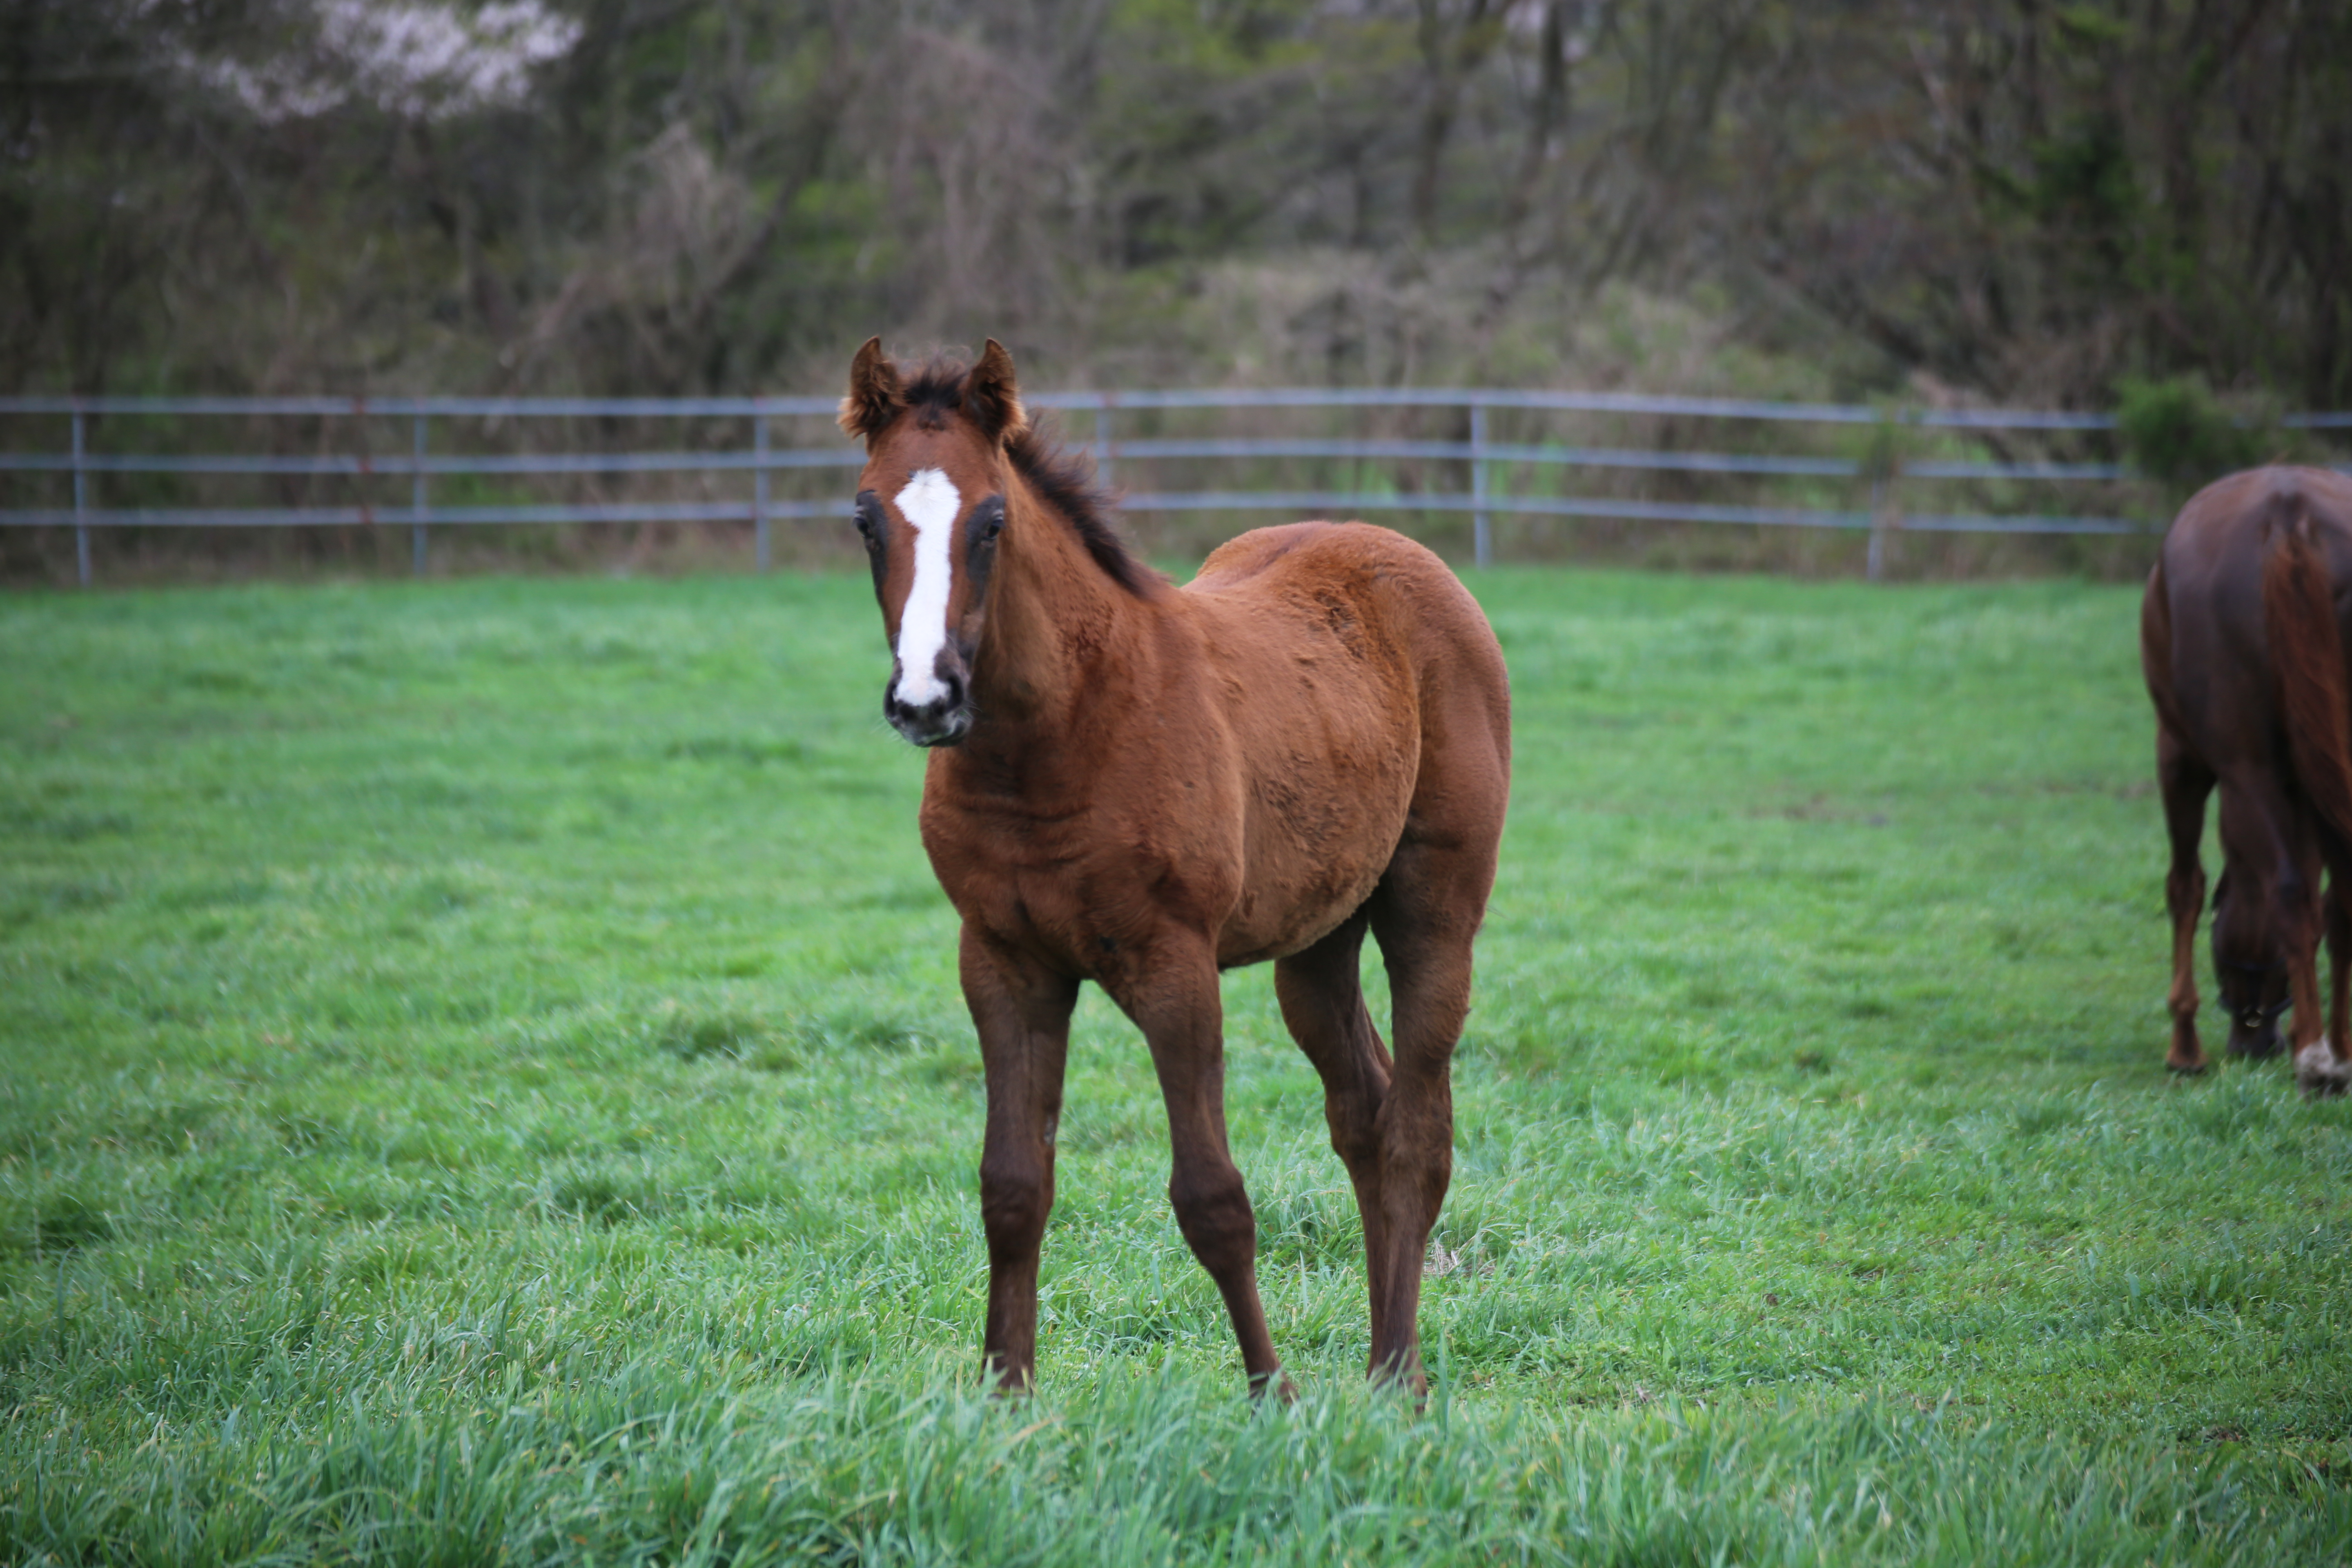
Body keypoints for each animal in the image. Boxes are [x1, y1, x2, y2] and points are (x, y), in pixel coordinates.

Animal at [837, 339, 1515, 1392]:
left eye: (992, 520)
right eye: (866, 519)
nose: (925, 700)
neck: (1059, 734)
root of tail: (1405, 557)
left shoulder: (1174, 966)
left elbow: (1212, 1199)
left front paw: (1272, 1393)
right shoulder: (1002, 963)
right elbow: (1011, 1187)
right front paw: (1003, 1395)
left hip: (1433, 913)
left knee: (1415, 1133)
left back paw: (1398, 1376)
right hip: (1316, 940)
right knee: (1362, 1115)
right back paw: (1375, 1371)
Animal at [2154, 465, 2352, 1091]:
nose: (2255, 1042)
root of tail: (2289, 512)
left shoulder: (2179, 757)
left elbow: (2185, 886)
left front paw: (2184, 1046)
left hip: (2239, 769)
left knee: (2287, 890)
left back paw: (2316, 1058)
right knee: (2334, 896)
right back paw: (2334, 1052)